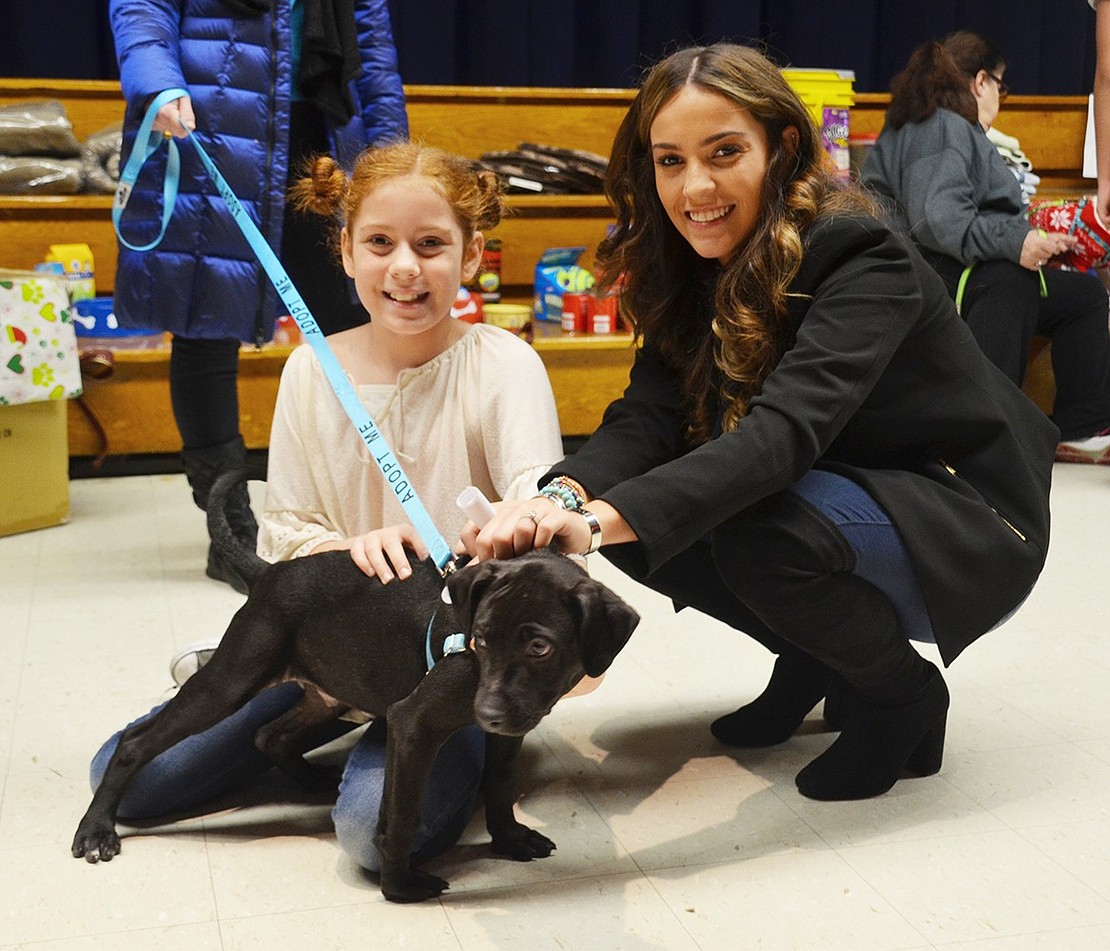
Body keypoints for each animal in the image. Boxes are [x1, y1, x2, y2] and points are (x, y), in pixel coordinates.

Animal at [71, 470, 643, 901]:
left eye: (539, 647)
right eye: (479, 639)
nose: (488, 714)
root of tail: (270, 574)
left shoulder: (507, 733)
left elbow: (500, 788)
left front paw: (508, 841)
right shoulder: (414, 723)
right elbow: (403, 815)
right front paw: (400, 888)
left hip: (328, 691)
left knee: (268, 735)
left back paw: (312, 781)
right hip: (230, 682)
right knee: (138, 741)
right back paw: (96, 830)